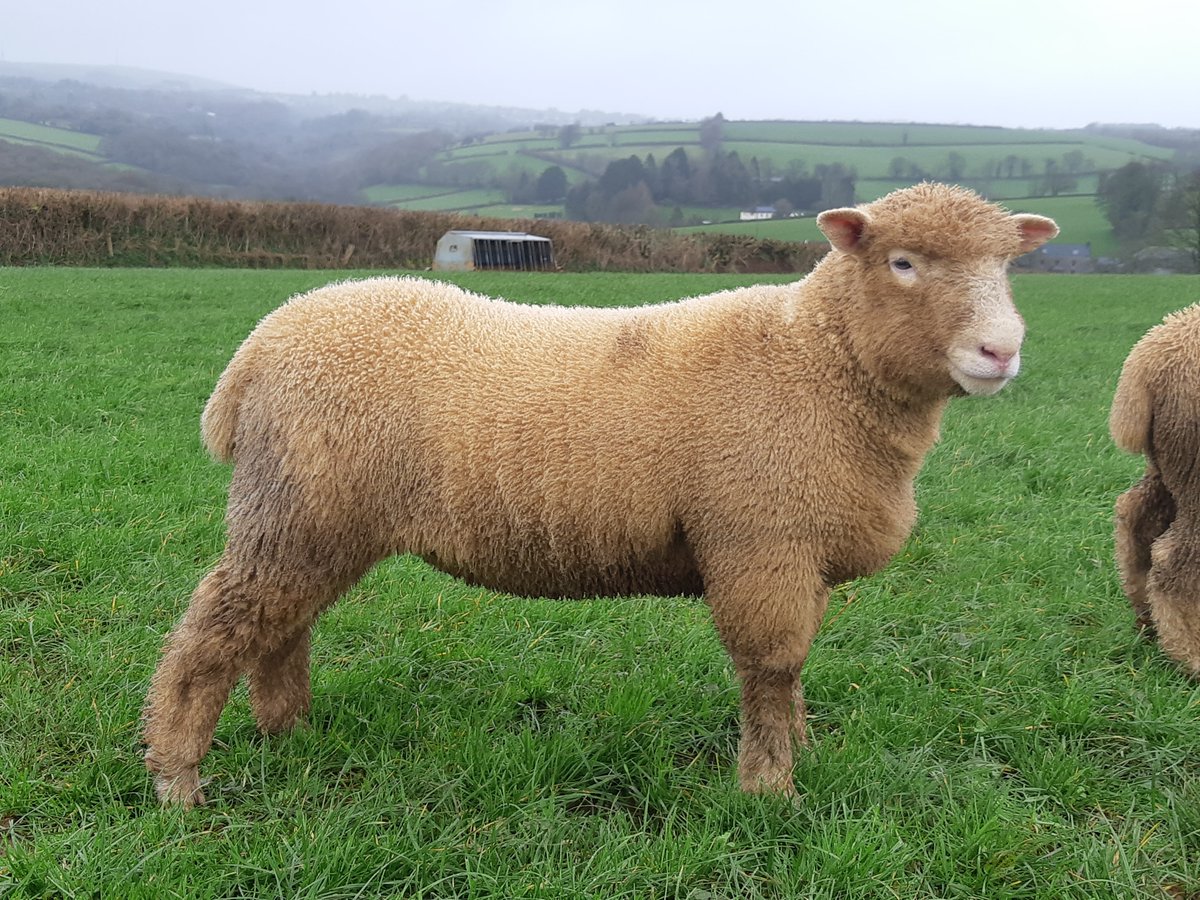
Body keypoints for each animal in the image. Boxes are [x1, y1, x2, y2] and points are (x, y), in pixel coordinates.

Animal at [142, 182, 1059, 807]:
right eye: (902, 263)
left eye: (1006, 266)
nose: (1000, 350)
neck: (817, 361)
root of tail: (261, 346)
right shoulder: (761, 542)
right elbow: (770, 668)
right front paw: (769, 789)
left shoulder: (802, 552)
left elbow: (795, 672)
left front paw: (803, 750)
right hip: (299, 506)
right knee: (218, 628)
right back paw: (178, 779)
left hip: (312, 517)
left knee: (279, 625)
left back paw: (287, 733)